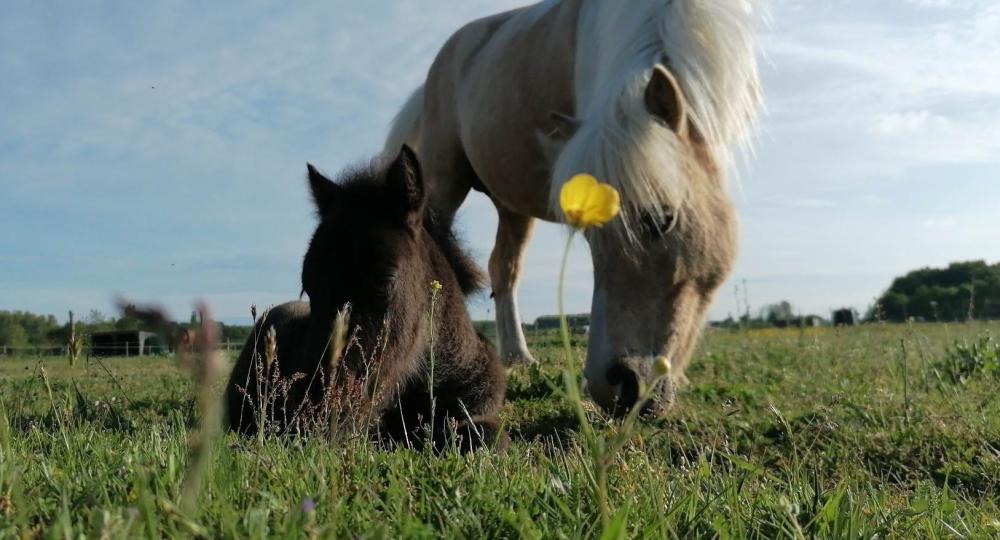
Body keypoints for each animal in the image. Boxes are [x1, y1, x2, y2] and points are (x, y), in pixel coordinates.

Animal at [386, 0, 760, 416]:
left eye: (661, 219)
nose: (616, 386)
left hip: (512, 205)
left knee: (503, 269)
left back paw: (517, 356)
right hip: (444, 176)